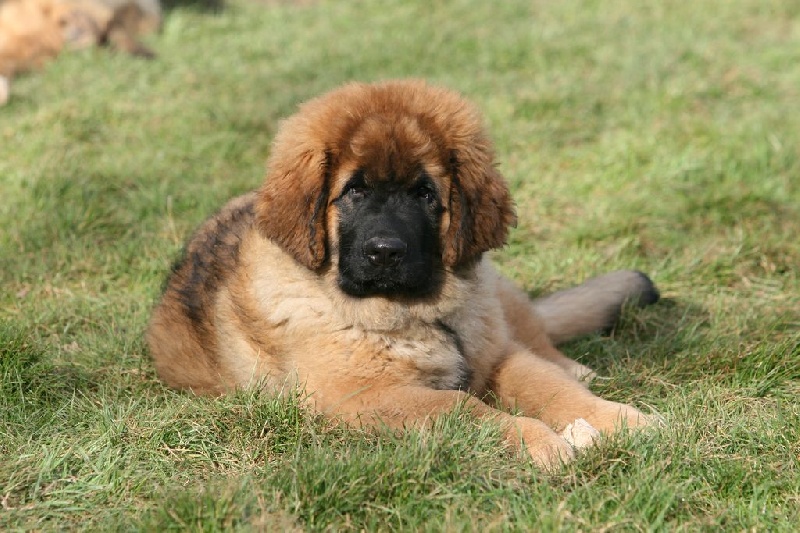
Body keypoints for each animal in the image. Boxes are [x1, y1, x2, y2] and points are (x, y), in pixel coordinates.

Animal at [147, 79, 660, 469]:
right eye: (354, 192)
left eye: (425, 194)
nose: (385, 252)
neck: (417, 314)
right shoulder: (361, 396)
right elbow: (460, 405)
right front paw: (535, 440)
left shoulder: (494, 354)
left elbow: (545, 383)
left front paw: (618, 419)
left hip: (499, 302)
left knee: (541, 340)